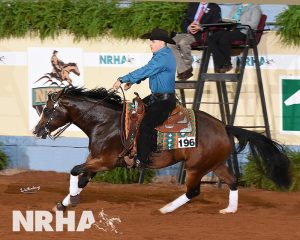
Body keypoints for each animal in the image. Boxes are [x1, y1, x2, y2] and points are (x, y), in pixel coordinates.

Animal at [32, 87, 290, 215]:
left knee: (193, 191)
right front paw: (63, 204)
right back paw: (229, 209)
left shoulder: (105, 161)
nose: (36, 130)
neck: (106, 123)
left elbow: (75, 171)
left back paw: (165, 209)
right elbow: (82, 179)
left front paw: (69, 202)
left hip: (196, 167)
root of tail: (224, 126)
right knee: (233, 181)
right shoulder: (95, 160)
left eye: (48, 110)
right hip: (215, 164)